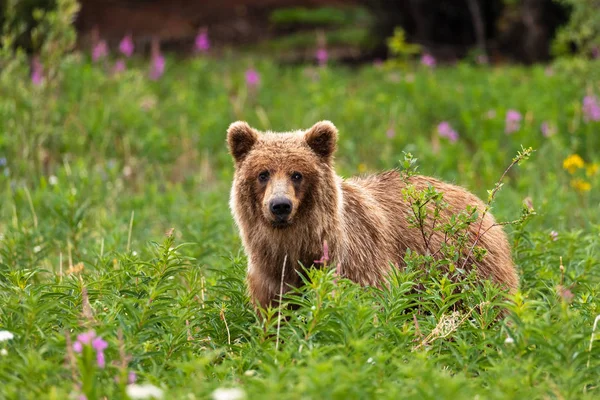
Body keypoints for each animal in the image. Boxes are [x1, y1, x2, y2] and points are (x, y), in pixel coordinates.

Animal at [227, 120, 516, 308]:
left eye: (297, 174)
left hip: (466, 264)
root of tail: (477, 201)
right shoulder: (271, 275)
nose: (280, 205)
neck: (297, 245)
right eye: (263, 173)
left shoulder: (356, 260)